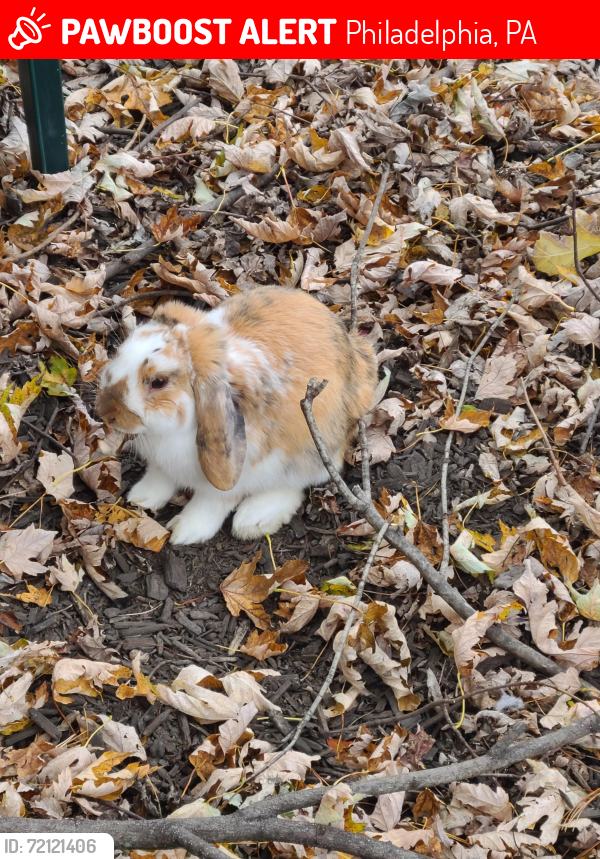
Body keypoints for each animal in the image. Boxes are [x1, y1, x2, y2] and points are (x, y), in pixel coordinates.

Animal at [95, 286, 377, 545]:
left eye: (159, 382)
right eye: (118, 353)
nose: (105, 412)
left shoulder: (229, 481)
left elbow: (210, 503)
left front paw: (185, 531)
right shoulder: (162, 465)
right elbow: (159, 478)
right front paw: (142, 498)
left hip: (312, 449)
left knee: (300, 483)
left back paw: (253, 519)